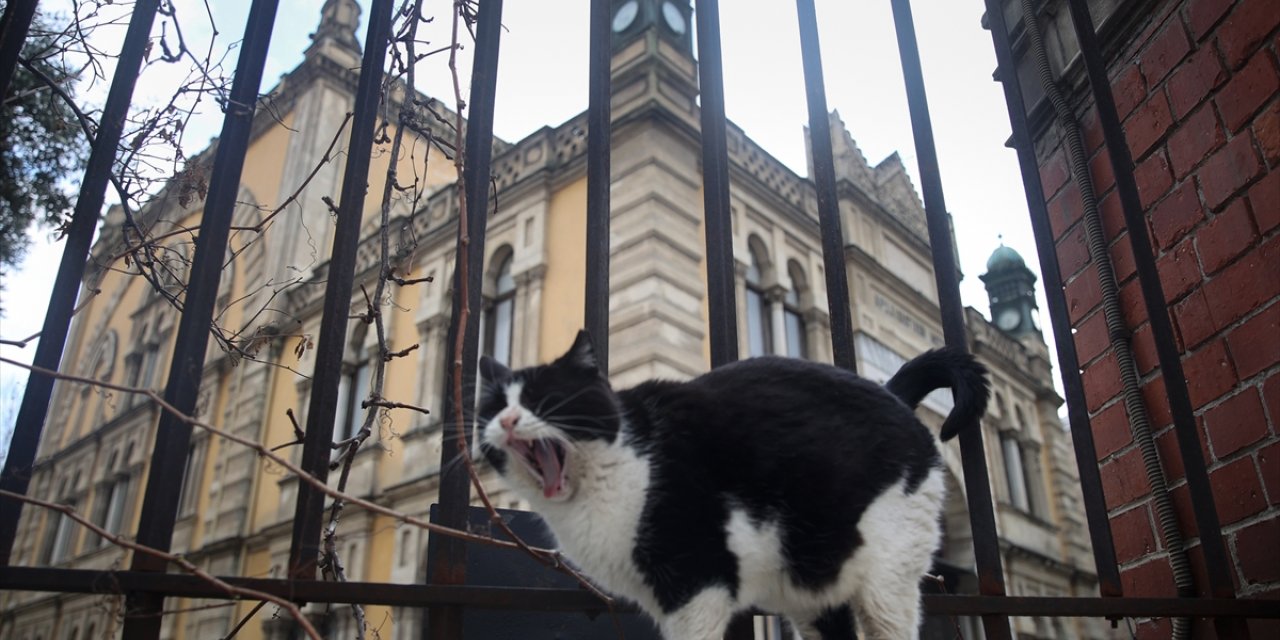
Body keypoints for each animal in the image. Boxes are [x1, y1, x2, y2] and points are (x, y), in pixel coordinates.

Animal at [481, 332, 988, 637]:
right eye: (494, 406)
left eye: (543, 399)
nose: (505, 421)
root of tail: (890, 392)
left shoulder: (698, 586)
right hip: (815, 588)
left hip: (886, 581)